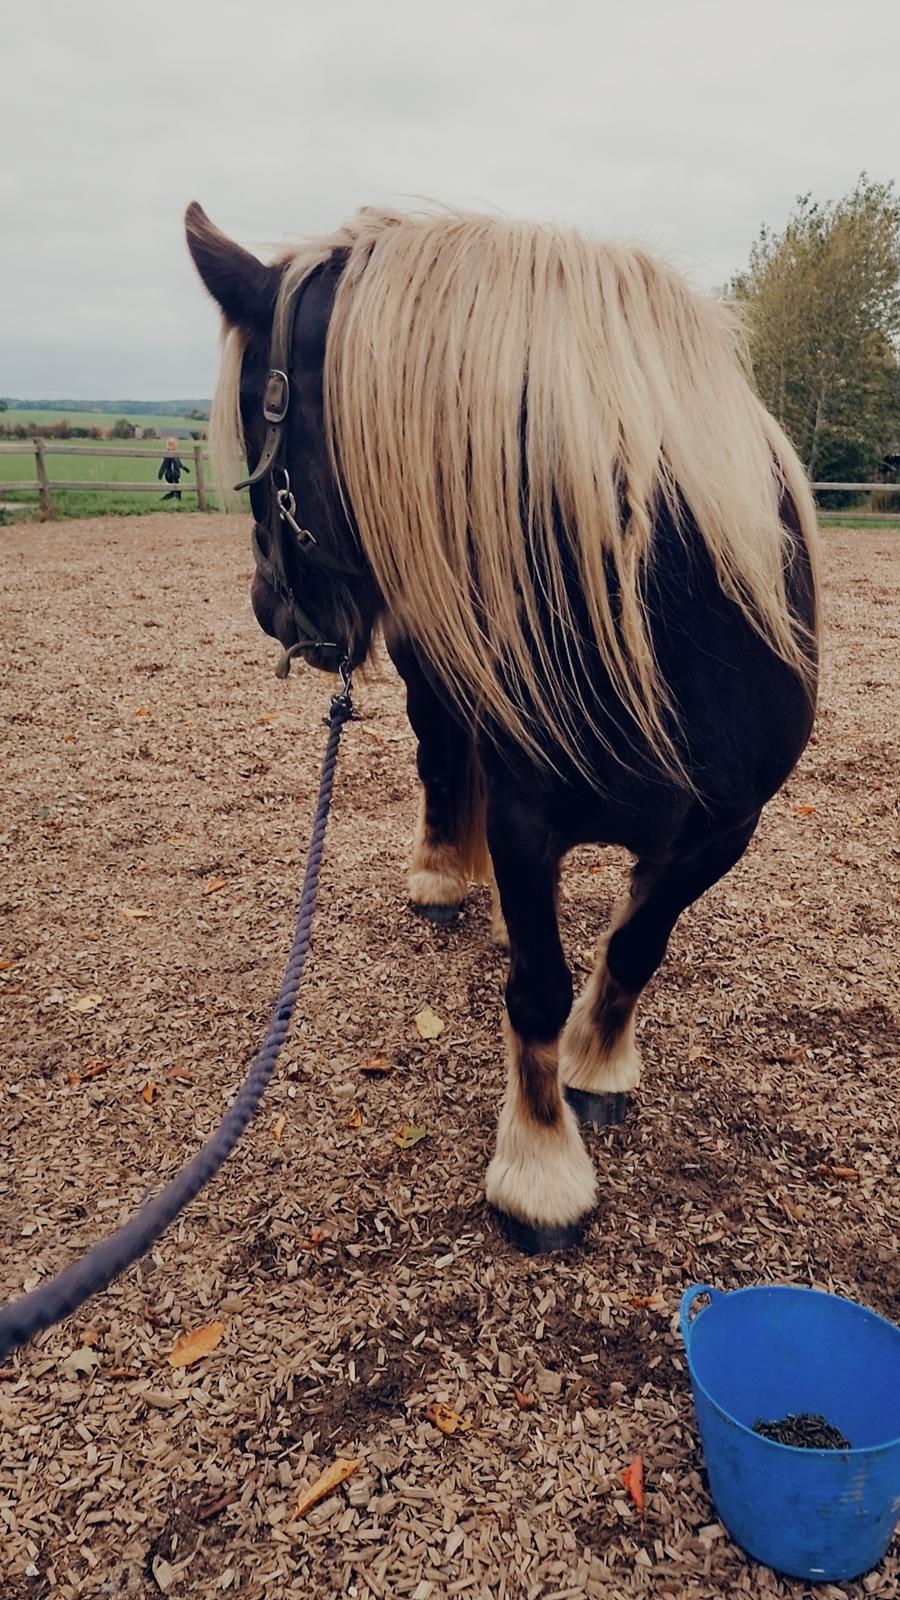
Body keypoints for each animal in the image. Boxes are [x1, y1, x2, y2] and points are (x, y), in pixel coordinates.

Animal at [185, 196, 816, 1248]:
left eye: (252, 421)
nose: (271, 608)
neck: (667, 613)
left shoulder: (725, 829)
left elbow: (637, 945)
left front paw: (599, 1065)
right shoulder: (528, 826)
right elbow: (537, 986)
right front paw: (542, 1168)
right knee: (443, 761)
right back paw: (443, 878)